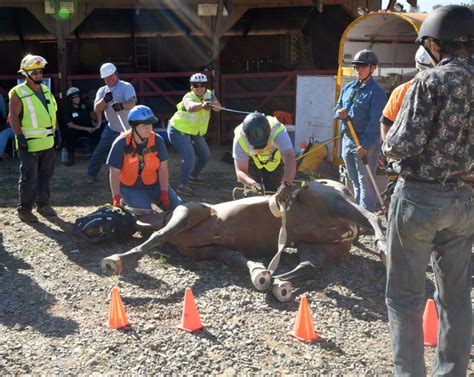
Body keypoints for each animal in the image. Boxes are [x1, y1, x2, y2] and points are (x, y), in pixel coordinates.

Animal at [101, 180, 386, 302]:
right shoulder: (212, 250)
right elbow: (238, 258)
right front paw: (260, 273)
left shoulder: (190, 212)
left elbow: (158, 236)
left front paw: (116, 261)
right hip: (316, 245)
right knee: (308, 266)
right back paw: (279, 283)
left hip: (332, 203)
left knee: (371, 215)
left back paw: (383, 248)